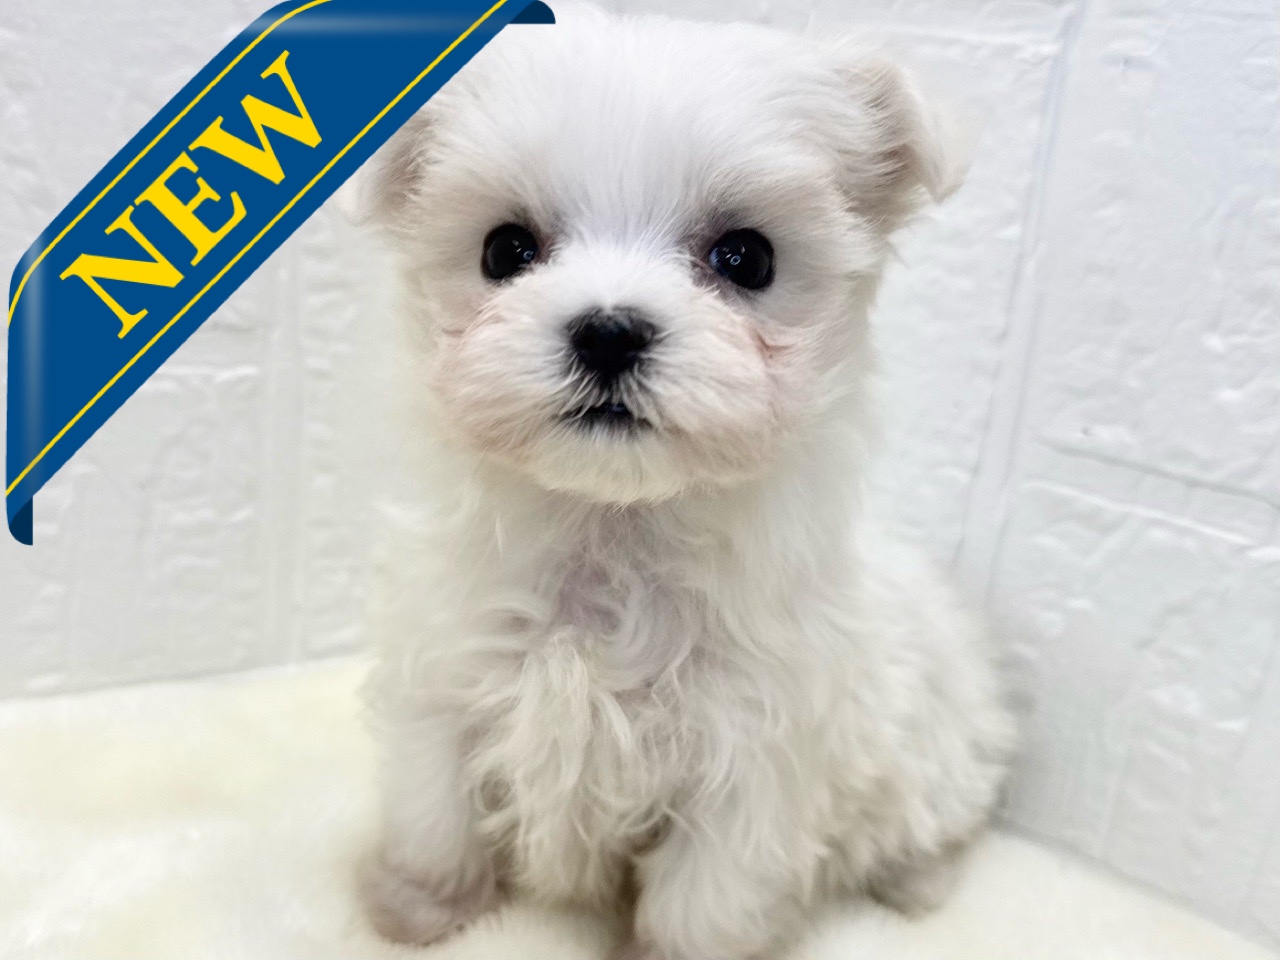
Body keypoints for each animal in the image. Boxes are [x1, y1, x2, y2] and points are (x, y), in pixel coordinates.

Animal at [342, 5, 1014, 959]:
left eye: (746, 259)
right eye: (505, 250)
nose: (609, 331)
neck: (613, 527)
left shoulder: (751, 767)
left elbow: (702, 904)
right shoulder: (444, 676)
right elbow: (433, 816)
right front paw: (416, 913)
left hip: (946, 750)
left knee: (940, 829)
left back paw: (915, 887)